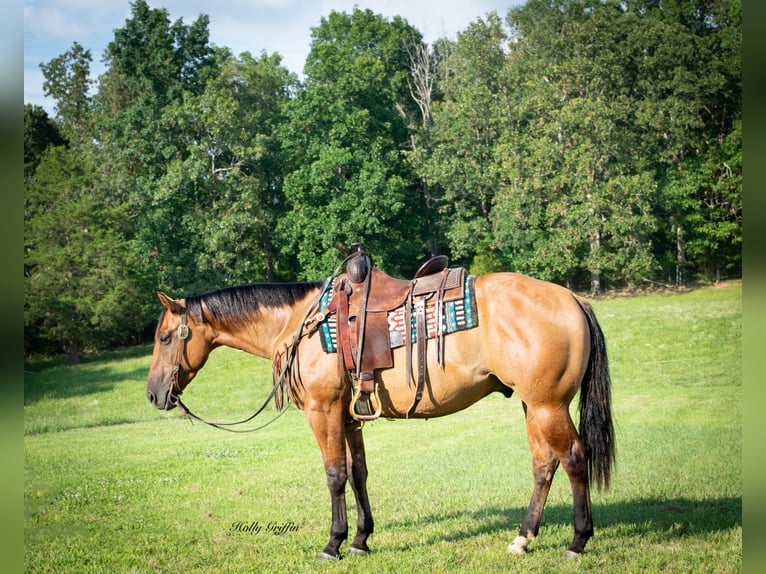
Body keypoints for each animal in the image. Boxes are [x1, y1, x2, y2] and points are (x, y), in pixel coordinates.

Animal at [146, 262, 615, 560]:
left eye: (166, 337)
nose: (153, 394)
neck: (301, 325)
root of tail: (573, 299)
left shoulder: (322, 411)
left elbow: (334, 475)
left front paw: (333, 544)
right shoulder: (349, 417)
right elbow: (358, 475)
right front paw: (360, 540)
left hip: (547, 405)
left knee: (574, 458)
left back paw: (577, 542)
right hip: (532, 405)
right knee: (544, 465)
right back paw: (522, 540)